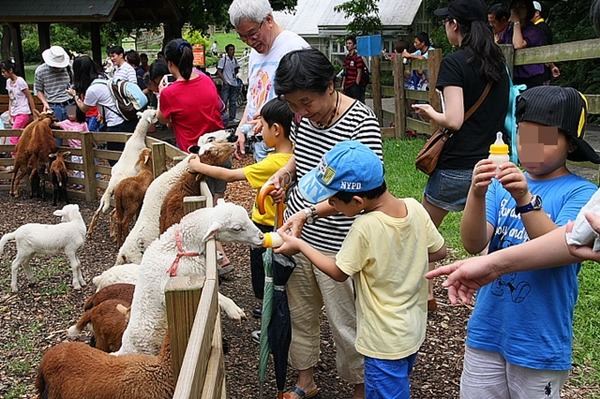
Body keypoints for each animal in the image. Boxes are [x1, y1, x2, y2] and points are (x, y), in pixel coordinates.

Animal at [87, 108, 158, 238]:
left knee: (98, 212)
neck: (137, 137)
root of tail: (112, 186)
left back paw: (91, 233)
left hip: (106, 197)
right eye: (153, 114)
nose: (157, 110)